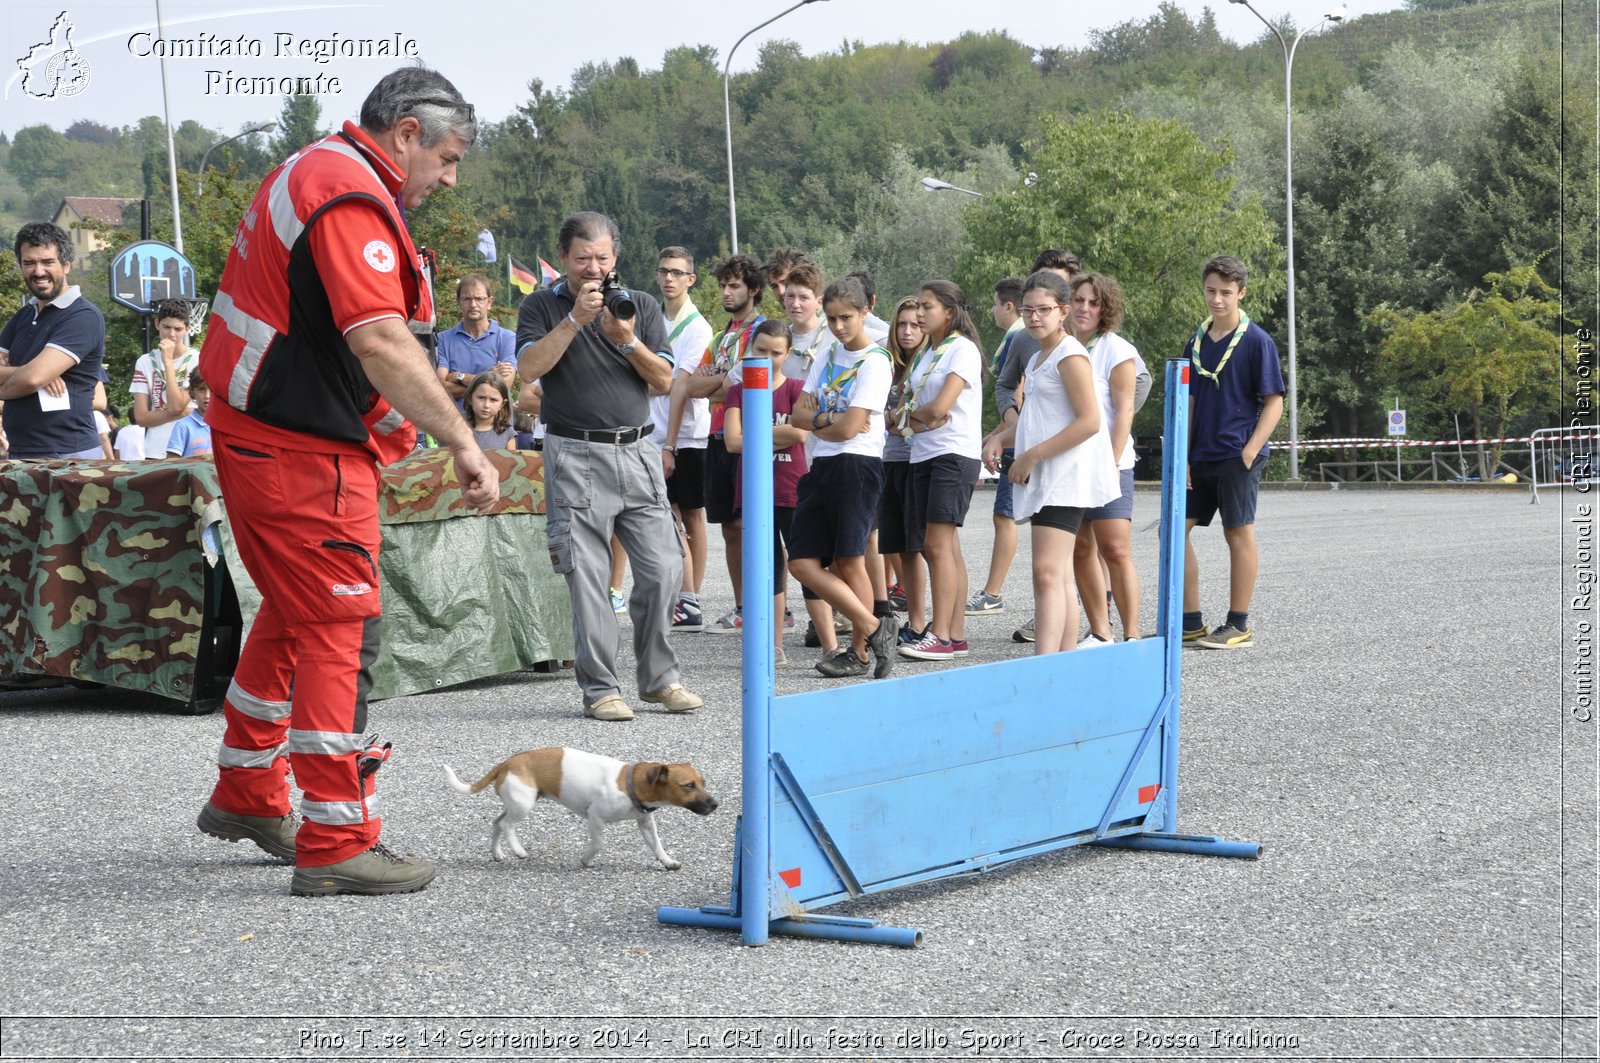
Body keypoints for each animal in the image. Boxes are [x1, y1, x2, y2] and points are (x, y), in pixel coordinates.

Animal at [438, 746, 713, 870]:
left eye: (703, 782)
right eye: (688, 786)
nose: (715, 804)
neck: (630, 783)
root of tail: (505, 764)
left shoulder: (645, 822)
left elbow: (656, 844)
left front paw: (667, 861)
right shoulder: (595, 818)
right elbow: (598, 844)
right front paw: (586, 859)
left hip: (517, 802)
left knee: (496, 823)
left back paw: (497, 853)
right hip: (523, 805)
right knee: (507, 826)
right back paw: (518, 850)